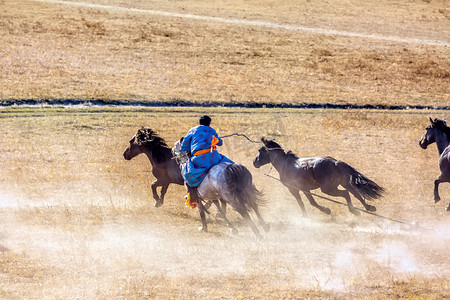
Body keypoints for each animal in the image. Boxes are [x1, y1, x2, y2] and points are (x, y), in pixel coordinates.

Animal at [253, 137, 384, 217]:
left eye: (260, 150)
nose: (254, 162)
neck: (285, 164)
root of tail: (335, 162)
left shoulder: (294, 189)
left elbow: (305, 202)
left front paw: (319, 212)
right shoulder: (305, 189)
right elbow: (311, 202)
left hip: (328, 189)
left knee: (346, 193)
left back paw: (354, 211)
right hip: (343, 182)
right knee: (355, 193)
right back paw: (369, 208)